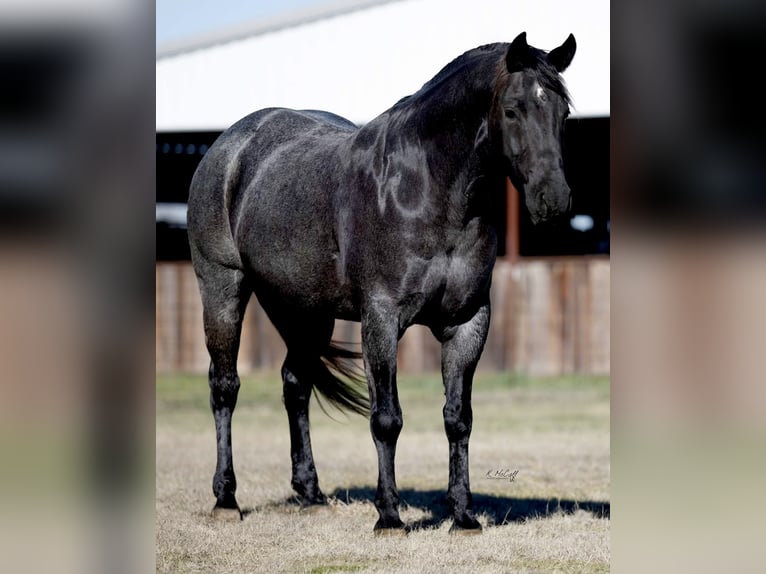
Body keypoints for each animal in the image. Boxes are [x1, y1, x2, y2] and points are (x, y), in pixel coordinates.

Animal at [189, 31, 580, 536]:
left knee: (296, 384)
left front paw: (462, 516)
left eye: (563, 112)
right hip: (223, 288)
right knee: (224, 388)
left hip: (307, 310)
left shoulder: (468, 321)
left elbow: (459, 419)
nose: (553, 201)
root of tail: (230, 146)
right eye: (512, 109)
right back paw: (226, 499)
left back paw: (311, 494)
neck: (426, 189)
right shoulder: (381, 317)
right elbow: (387, 419)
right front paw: (389, 517)